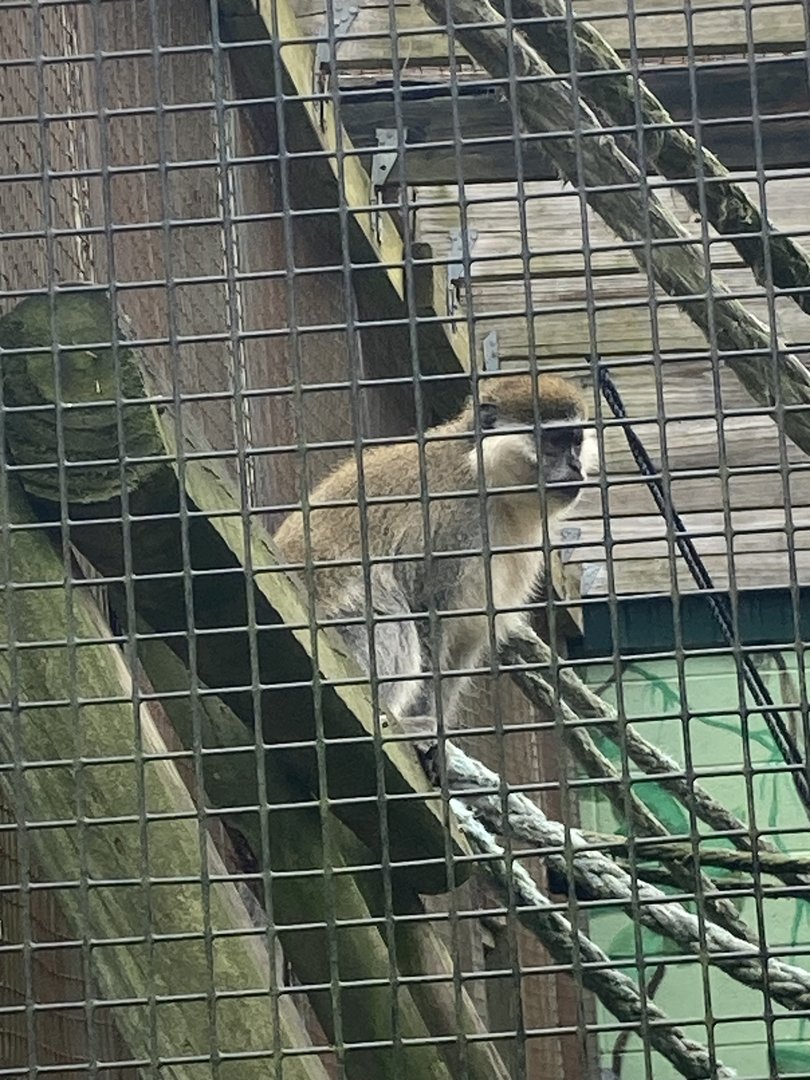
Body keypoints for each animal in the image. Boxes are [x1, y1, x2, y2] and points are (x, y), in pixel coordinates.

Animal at [274, 373, 596, 741]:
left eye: (575, 442)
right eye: (554, 441)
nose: (575, 465)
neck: (489, 484)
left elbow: (464, 644)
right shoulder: (454, 521)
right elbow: (425, 611)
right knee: (388, 611)